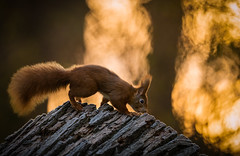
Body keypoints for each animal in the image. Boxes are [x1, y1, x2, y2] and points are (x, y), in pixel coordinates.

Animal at [8, 61, 152, 116]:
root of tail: (71, 73)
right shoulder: (118, 95)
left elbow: (104, 100)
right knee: (70, 92)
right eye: (142, 101)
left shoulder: (107, 95)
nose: (146, 111)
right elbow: (119, 105)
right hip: (90, 86)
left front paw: (101, 106)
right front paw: (131, 113)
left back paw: (78, 100)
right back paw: (76, 105)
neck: (130, 92)